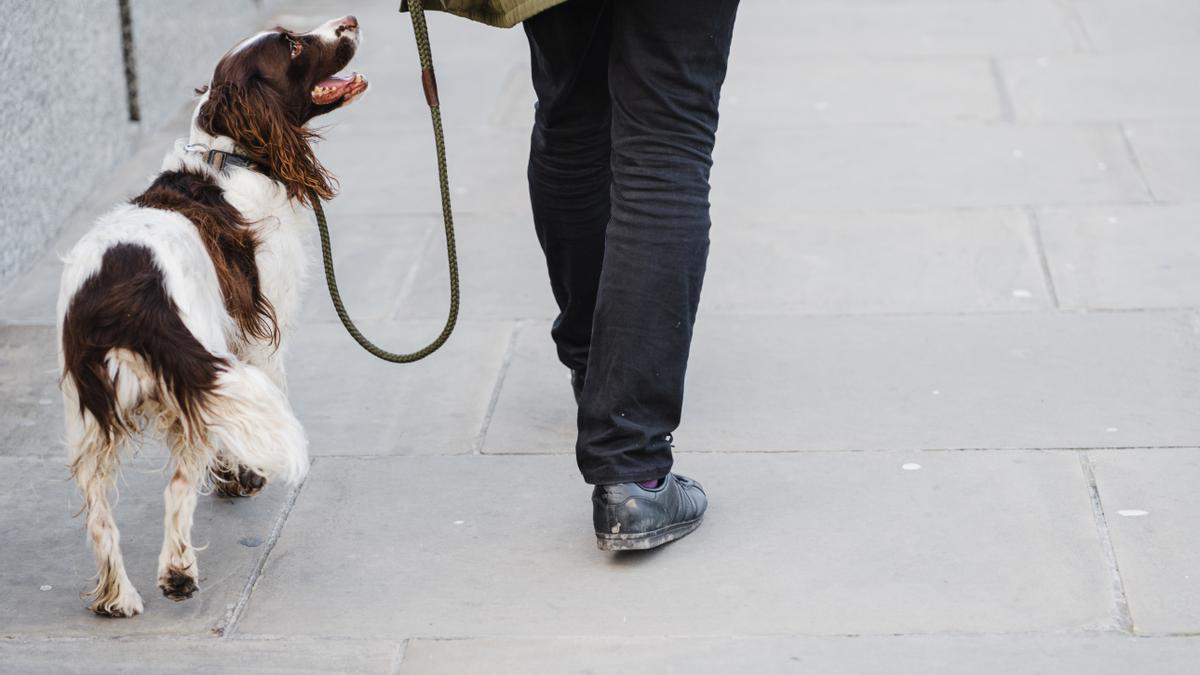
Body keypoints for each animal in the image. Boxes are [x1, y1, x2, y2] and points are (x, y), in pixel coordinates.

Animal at [57, 17, 364, 614]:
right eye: (293, 45)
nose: (351, 22)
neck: (231, 154)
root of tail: (122, 296)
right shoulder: (257, 332)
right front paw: (244, 474)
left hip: (90, 417)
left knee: (101, 513)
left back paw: (116, 596)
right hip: (188, 368)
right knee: (177, 488)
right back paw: (177, 572)